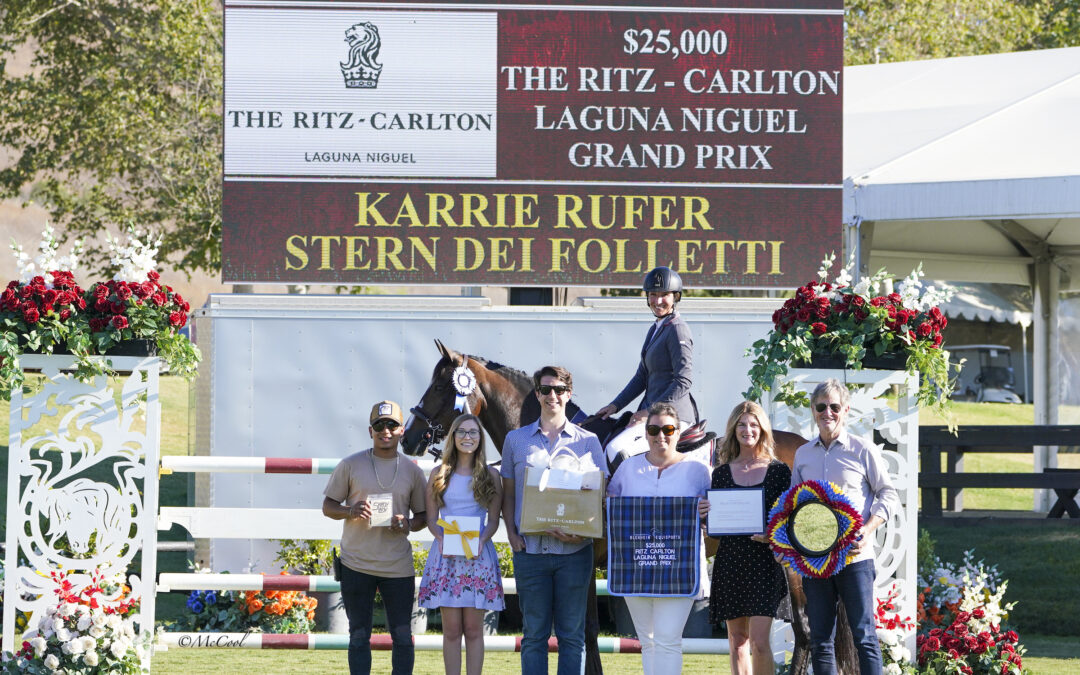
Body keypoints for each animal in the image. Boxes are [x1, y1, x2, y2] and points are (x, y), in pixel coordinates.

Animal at [401, 341, 855, 673]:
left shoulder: (585, 559)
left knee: (807, 630)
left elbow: (585, 630)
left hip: (792, 565)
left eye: (440, 387)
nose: (409, 437)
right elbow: (583, 630)